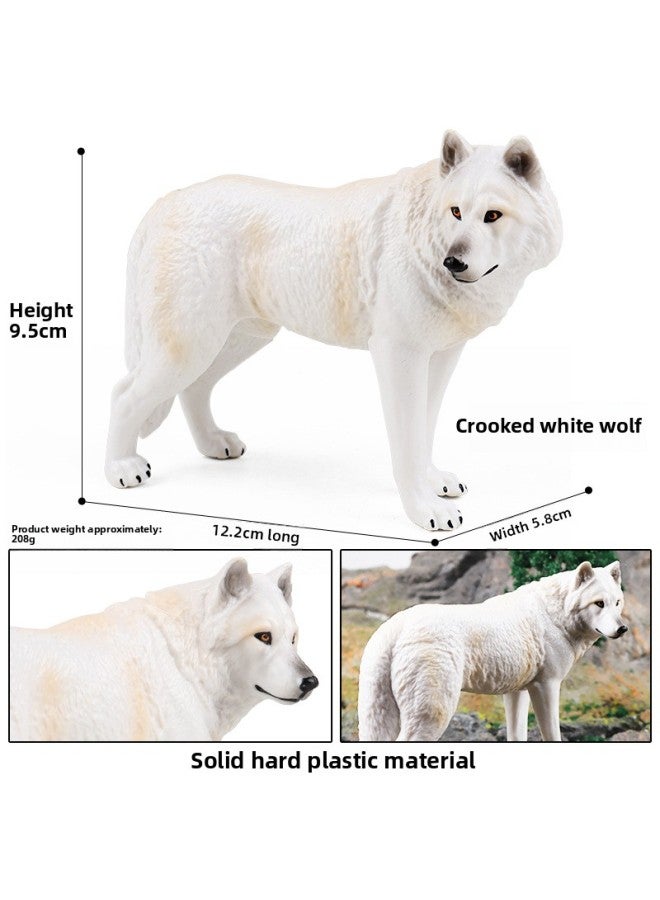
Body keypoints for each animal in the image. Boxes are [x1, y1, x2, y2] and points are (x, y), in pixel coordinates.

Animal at [105, 132, 561, 530]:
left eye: (492, 215)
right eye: (455, 212)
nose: (453, 262)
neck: (424, 234)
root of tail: (165, 201)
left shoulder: (442, 354)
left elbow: (425, 428)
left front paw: (434, 483)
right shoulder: (398, 355)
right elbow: (407, 439)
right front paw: (424, 510)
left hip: (239, 336)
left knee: (194, 388)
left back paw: (214, 444)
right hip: (191, 342)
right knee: (125, 394)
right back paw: (121, 469)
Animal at [357, 560, 625, 741]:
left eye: (617, 602)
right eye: (598, 603)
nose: (622, 629)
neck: (555, 615)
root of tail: (394, 627)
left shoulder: (519, 690)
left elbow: (516, 733)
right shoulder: (547, 684)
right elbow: (552, 733)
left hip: (376, 711)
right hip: (434, 708)